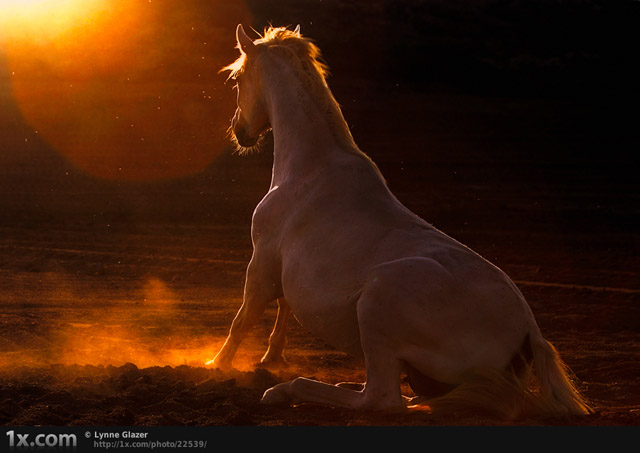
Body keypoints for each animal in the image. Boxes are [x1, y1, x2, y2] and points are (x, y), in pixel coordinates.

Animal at [208, 23, 592, 420]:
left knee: (380, 399)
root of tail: (529, 335)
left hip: (379, 301)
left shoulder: (261, 263)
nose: (240, 131)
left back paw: (285, 391)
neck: (309, 167)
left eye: (237, 78)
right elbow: (282, 309)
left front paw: (215, 365)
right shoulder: (279, 267)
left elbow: (242, 319)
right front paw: (269, 358)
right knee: (408, 399)